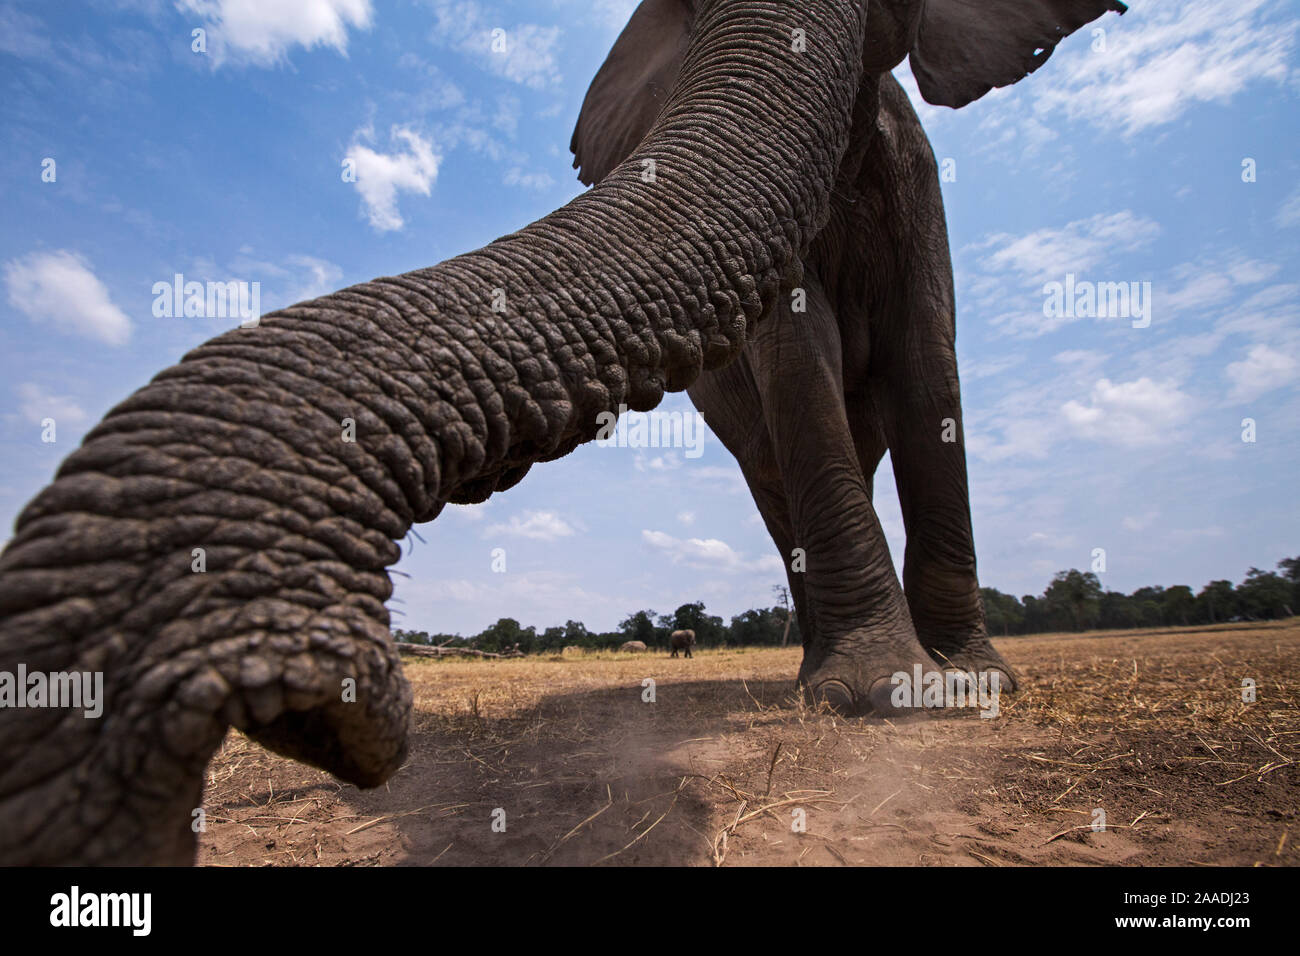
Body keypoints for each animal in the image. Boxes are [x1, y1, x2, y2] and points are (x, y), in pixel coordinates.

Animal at [0, 0, 1123, 868]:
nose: (340, 708)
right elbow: (798, 362)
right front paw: (893, 696)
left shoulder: (916, 180)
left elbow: (932, 367)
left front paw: (971, 685)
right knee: (775, 480)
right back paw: (816, 682)